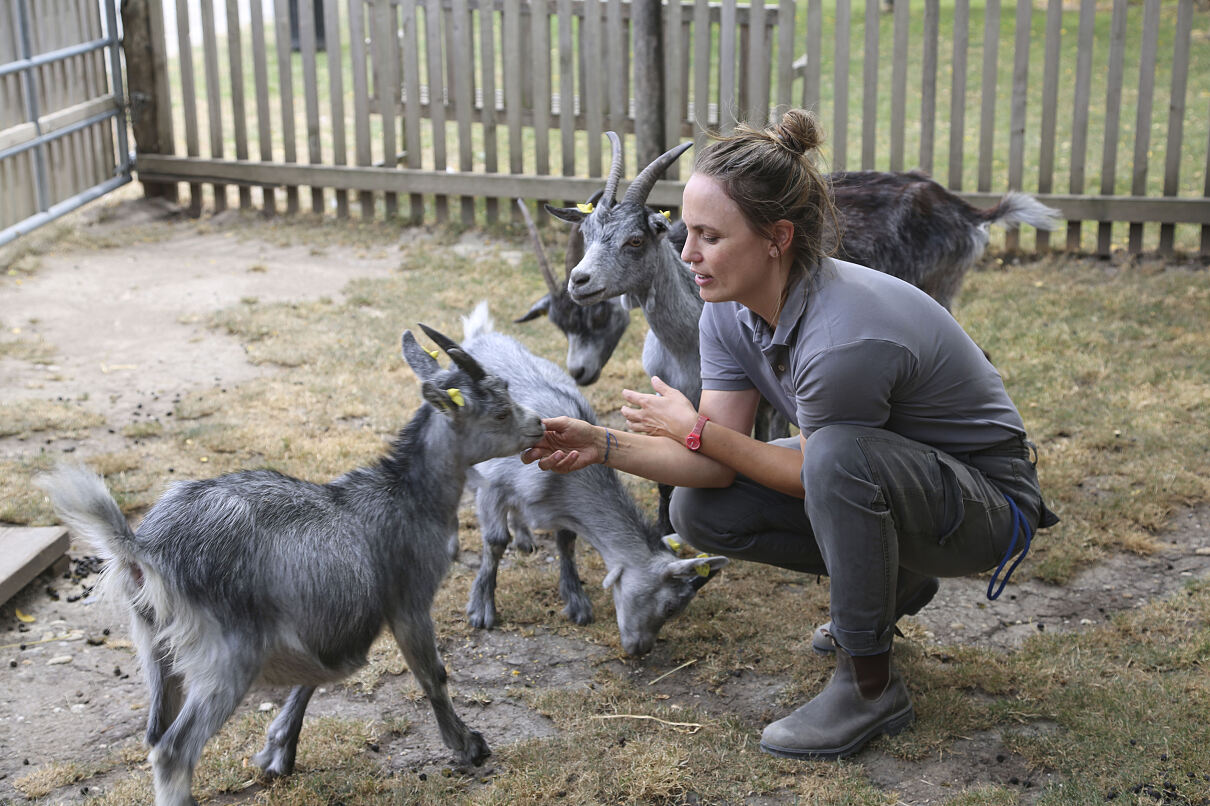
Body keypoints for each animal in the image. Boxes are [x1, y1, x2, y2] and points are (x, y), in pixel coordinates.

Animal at [34, 324, 544, 803]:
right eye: (499, 409)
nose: (538, 424)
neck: (408, 497)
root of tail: (145, 548)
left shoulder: (319, 620)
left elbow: (312, 675)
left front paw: (278, 751)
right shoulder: (409, 601)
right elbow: (432, 675)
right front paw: (469, 745)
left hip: (155, 644)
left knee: (155, 732)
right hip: (226, 654)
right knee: (174, 749)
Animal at [454, 297, 721, 658]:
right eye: (669, 607)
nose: (639, 649)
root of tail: (480, 336)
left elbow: (566, 541)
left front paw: (577, 603)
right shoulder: (494, 485)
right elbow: (494, 542)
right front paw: (481, 608)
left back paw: (524, 537)